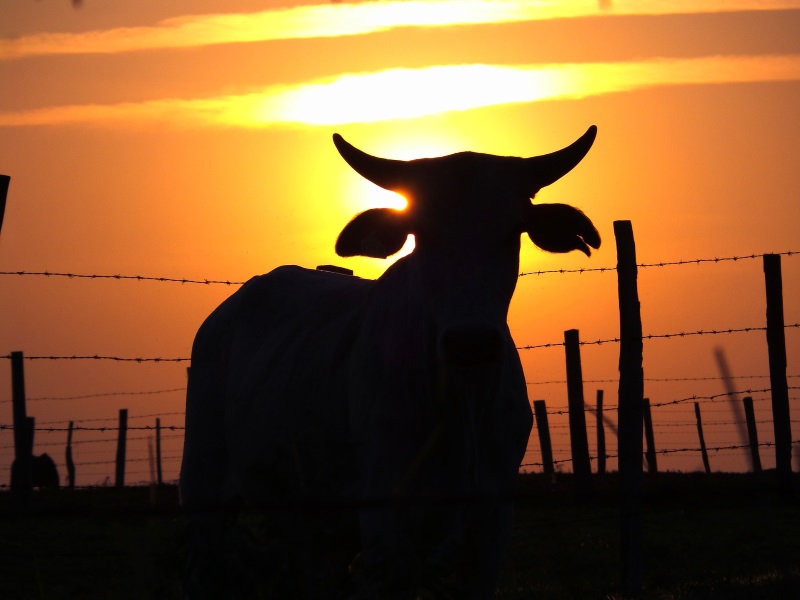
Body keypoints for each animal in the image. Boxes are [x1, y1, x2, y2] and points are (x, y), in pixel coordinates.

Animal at [179, 126, 600, 599]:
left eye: (514, 229)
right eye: (421, 231)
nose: (470, 342)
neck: (460, 402)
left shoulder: (491, 524)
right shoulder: (387, 525)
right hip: (202, 494)